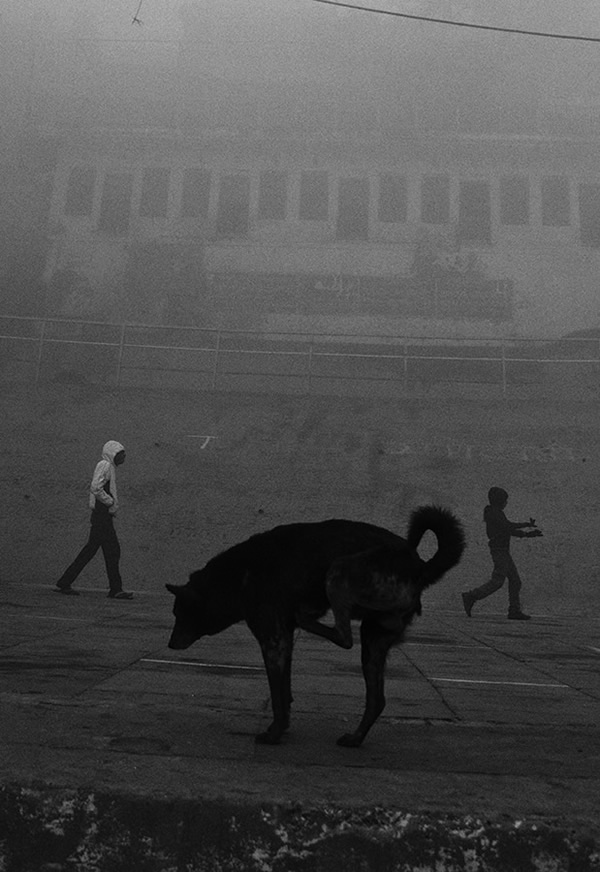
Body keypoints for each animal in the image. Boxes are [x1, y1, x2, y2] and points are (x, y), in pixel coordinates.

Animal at [166, 508, 466, 744]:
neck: (235, 577)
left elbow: (277, 694)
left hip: (340, 571)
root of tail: (420, 566)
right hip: (373, 640)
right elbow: (284, 691)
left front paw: (274, 734)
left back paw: (307, 617)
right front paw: (281, 727)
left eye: (179, 613)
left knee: (344, 636)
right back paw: (355, 739)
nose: (170, 644)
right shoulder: (282, 640)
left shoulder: (273, 639)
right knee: (376, 698)